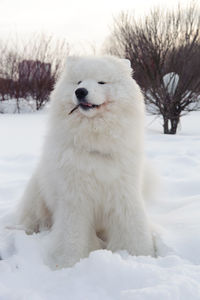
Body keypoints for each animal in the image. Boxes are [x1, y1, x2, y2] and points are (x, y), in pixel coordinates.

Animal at [16, 55, 155, 266]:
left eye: (101, 82)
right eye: (79, 82)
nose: (80, 92)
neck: (95, 145)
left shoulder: (123, 193)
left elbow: (132, 227)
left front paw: (141, 256)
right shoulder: (75, 199)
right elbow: (72, 234)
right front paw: (69, 262)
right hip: (37, 198)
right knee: (32, 219)